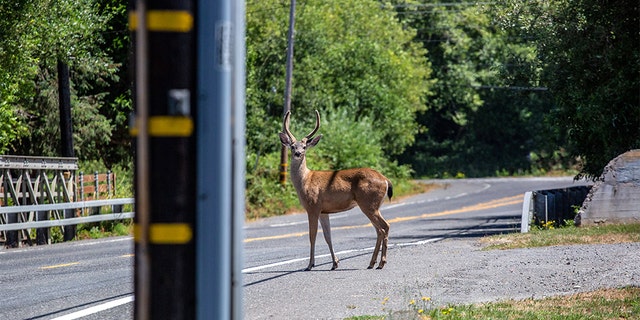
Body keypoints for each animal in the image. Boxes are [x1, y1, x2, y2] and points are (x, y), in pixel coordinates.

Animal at [278, 110, 392, 270]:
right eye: (293, 146)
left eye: (304, 146)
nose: (298, 153)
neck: (305, 181)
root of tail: (385, 180)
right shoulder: (324, 211)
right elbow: (328, 236)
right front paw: (335, 263)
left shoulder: (313, 207)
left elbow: (312, 235)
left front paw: (310, 264)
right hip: (373, 205)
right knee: (379, 230)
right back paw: (372, 263)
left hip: (368, 203)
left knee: (384, 227)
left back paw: (381, 263)